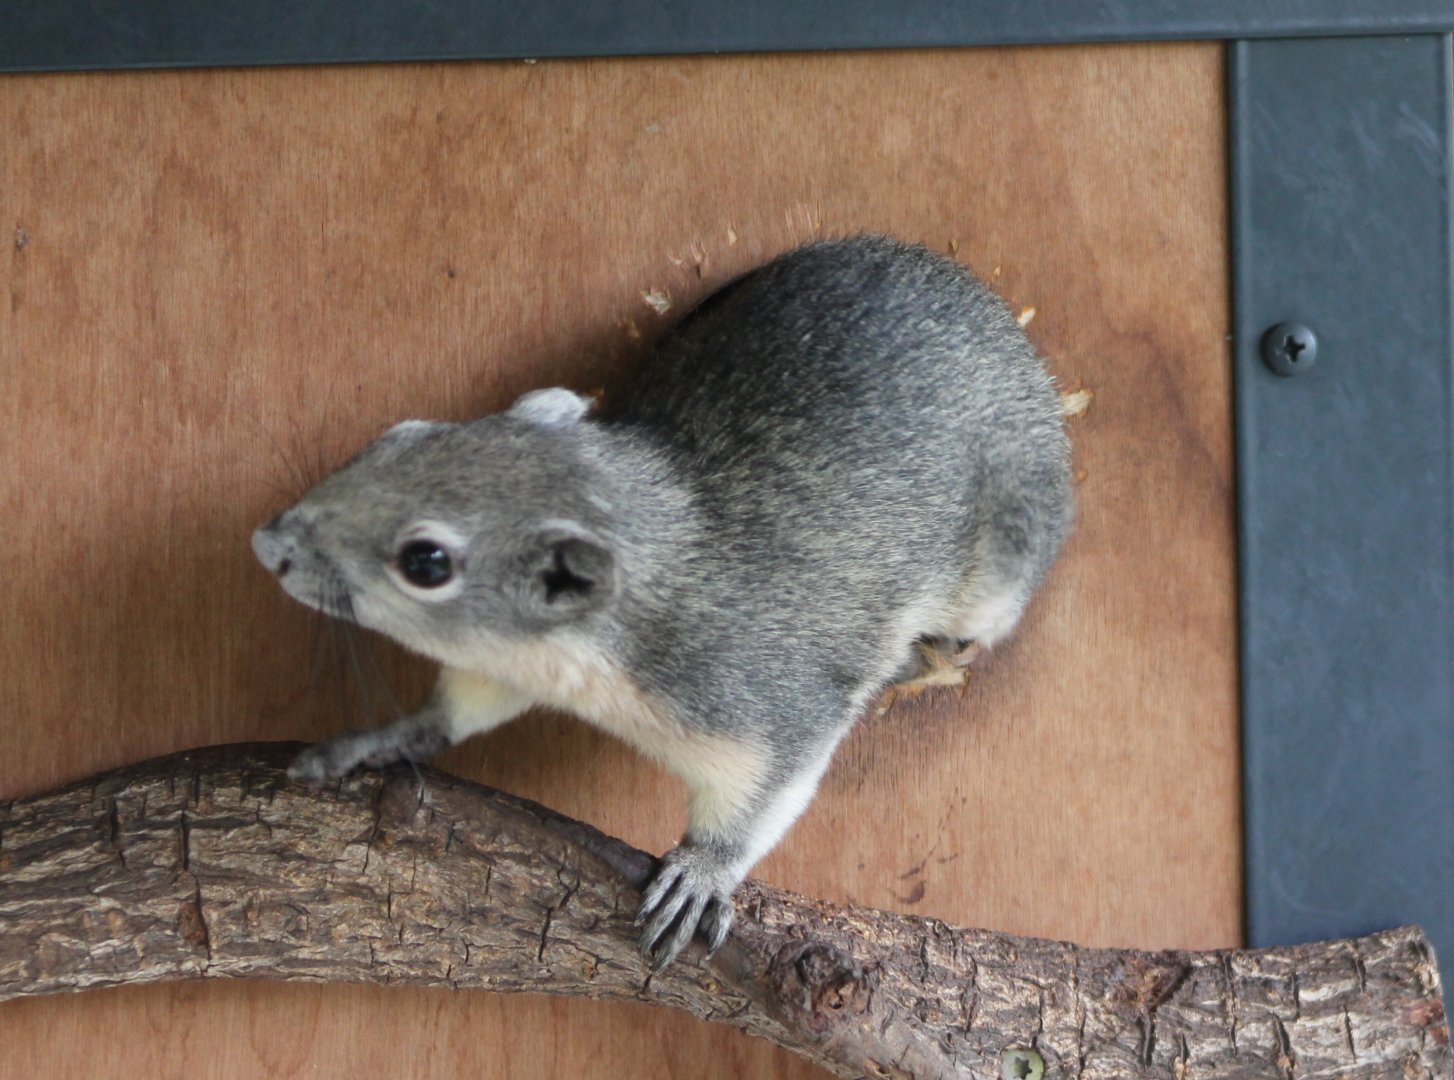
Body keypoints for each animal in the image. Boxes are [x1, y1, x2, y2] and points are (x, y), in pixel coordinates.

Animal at [251, 235, 1073, 970]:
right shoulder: (505, 666)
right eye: (399, 436)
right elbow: (455, 712)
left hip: (1000, 568)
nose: (267, 542)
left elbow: (762, 798)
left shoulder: (771, 708)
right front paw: (380, 738)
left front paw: (701, 873)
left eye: (425, 563)